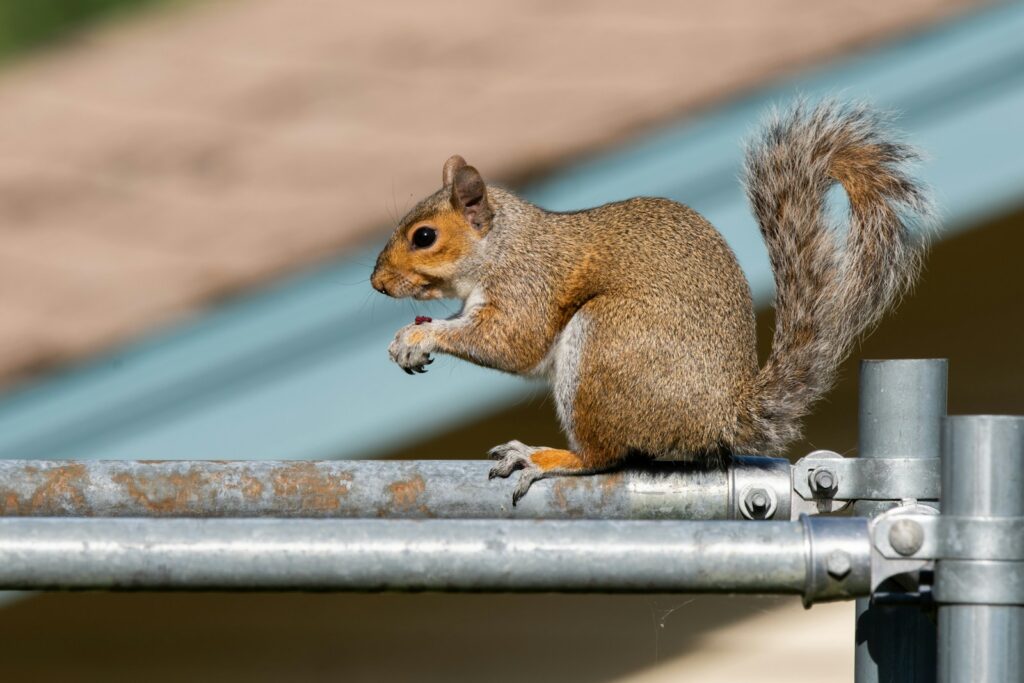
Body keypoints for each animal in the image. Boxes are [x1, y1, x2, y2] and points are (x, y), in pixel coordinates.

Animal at [371, 100, 933, 505]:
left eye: (424, 237)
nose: (376, 284)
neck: (502, 246)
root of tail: (724, 417)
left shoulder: (527, 285)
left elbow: (510, 342)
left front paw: (420, 335)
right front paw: (409, 338)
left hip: (606, 344)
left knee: (604, 456)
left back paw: (543, 458)